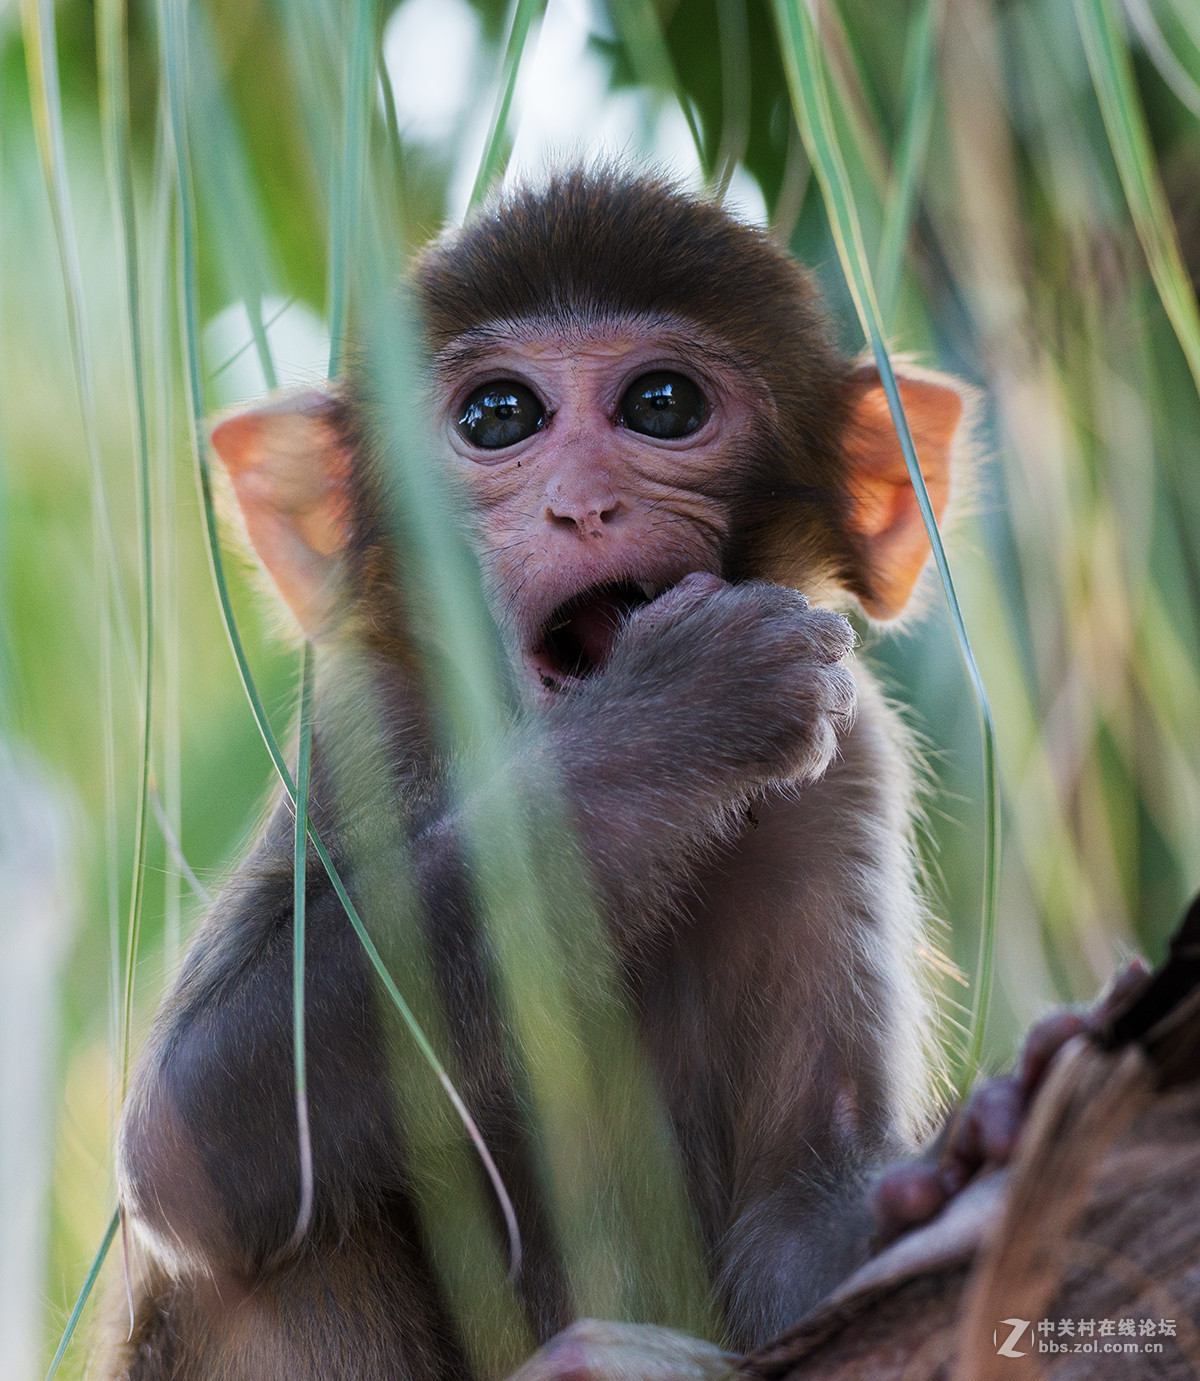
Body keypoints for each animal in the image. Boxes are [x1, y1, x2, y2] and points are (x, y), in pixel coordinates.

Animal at [109, 172, 972, 1381]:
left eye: (663, 404)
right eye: (499, 417)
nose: (581, 502)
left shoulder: (847, 768)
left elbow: (805, 1207)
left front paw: (948, 1169)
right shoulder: (365, 729)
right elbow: (187, 1127)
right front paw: (670, 720)